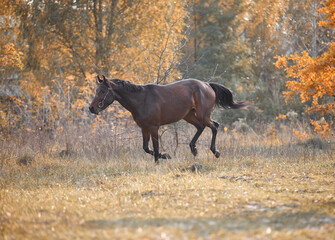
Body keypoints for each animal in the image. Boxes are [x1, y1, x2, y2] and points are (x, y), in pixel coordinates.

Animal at [89, 75, 249, 163]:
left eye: (102, 91)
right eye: (97, 90)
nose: (91, 108)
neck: (142, 99)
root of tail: (207, 85)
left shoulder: (154, 127)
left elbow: (155, 147)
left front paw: (160, 160)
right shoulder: (144, 128)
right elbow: (146, 148)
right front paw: (165, 156)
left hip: (203, 115)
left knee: (214, 126)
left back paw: (215, 152)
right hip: (189, 115)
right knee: (201, 127)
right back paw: (194, 150)